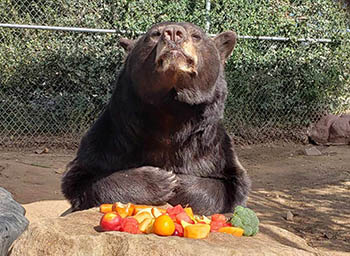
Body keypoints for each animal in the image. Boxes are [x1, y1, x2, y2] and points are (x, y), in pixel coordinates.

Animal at [61, 21, 250, 214]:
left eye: (196, 35)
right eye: (154, 34)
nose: (173, 32)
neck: (170, 111)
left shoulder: (210, 147)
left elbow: (231, 184)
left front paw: (179, 181)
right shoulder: (114, 138)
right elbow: (82, 176)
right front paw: (161, 180)